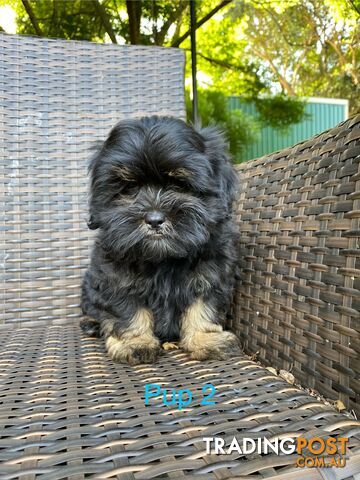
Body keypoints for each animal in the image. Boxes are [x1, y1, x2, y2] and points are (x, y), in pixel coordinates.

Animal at [80, 115, 240, 364]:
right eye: (130, 188)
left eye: (179, 185)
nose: (154, 219)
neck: (163, 259)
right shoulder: (115, 278)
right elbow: (127, 309)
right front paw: (135, 341)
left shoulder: (212, 272)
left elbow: (203, 305)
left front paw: (204, 339)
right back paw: (92, 323)